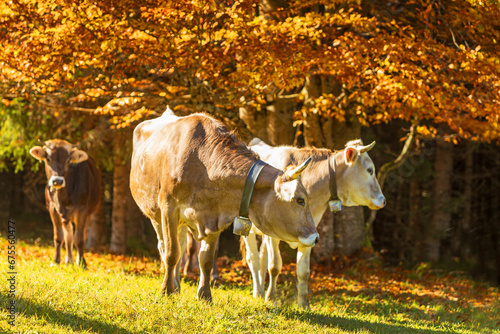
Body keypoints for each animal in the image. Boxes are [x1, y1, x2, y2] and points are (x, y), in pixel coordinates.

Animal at [29, 140, 101, 268]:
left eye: (68, 160)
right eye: (48, 158)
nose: (57, 181)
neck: (62, 197)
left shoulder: (82, 210)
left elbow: (79, 238)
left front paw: (82, 263)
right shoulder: (52, 208)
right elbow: (59, 236)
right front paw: (56, 260)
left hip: (88, 213)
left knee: (81, 234)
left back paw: (77, 260)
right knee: (69, 234)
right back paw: (69, 260)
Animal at [129, 108, 316, 302]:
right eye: (300, 200)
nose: (315, 237)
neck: (202, 164)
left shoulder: (215, 216)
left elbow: (206, 259)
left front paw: (204, 295)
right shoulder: (169, 209)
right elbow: (172, 253)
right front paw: (165, 290)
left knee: (181, 245)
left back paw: (178, 287)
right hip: (155, 215)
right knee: (164, 247)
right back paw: (172, 286)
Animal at [244, 138, 384, 308]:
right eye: (370, 170)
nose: (383, 200)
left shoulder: (309, 235)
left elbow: (304, 271)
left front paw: (304, 304)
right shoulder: (273, 236)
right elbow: (275, 266)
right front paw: (271, 298)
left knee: (262, 258)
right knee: (254, 260)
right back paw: (258, 293)